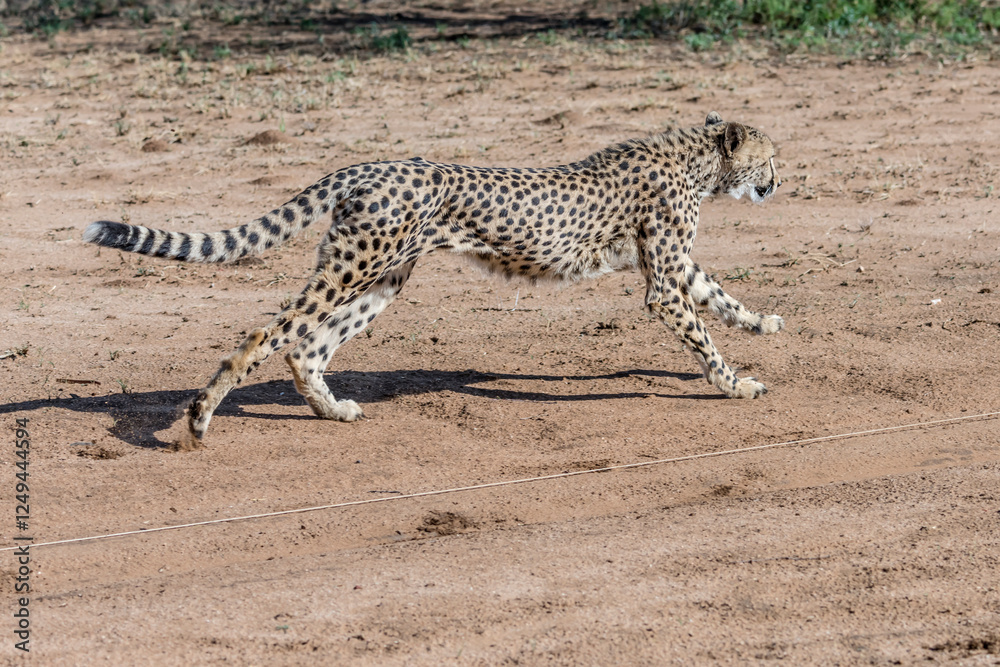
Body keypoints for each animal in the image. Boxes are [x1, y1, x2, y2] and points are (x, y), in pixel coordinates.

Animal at [83, 111, 782, 448]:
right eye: (770, 157)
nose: (778, 182)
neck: (694, 161)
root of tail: (369, 165)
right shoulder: (662, 281)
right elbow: (702, 335)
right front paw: (735, 385)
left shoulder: (673, 265)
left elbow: (719, 295)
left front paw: (763, 324)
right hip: (357, 266)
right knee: (268, 335)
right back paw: (200, 419)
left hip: (383, 276)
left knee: (306, 347)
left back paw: (333, 410)